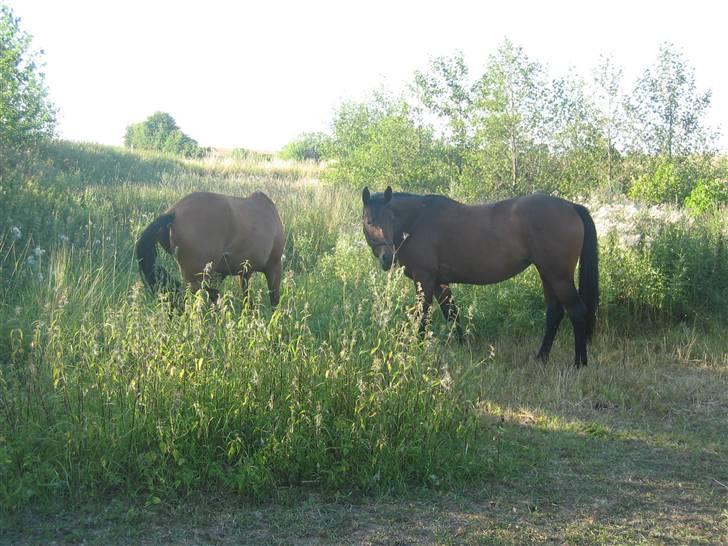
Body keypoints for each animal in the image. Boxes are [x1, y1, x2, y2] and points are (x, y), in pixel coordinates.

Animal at [135, 190, 282, 306]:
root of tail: (173, 213)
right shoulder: (274, 267)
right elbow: (274, 299)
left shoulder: (241, 272)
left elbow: (246, 297)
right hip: (196, 279)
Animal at [362, 185, 600, 368]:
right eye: (369, 221)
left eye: (391, 218)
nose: (387, 257)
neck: (418, 221)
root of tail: (571, 206)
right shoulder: (439, 282)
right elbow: (452, 313)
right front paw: (463, 346)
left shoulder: (425, 279)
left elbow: (423, 317)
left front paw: (417, 350)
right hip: (547, 275)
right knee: (554, 313)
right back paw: (541, 358)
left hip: (558, 277)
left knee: (577, 312)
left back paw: (579, 363)